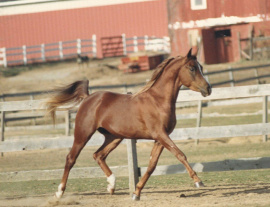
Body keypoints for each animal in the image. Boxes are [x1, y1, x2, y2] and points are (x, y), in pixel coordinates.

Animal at [44, 48, 211, 201]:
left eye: (201, 67)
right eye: (192, 68)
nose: (208, 88)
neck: (158, 101)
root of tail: (88, 97)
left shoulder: (160, 139)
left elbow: (151, 166)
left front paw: (136, 193)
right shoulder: (160, 134)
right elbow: (180, 154)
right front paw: (198, 182)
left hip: (114, 137)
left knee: (98, 155)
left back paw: (111, 186)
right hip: (82, 134)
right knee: (71, 158)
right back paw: (59, 192)